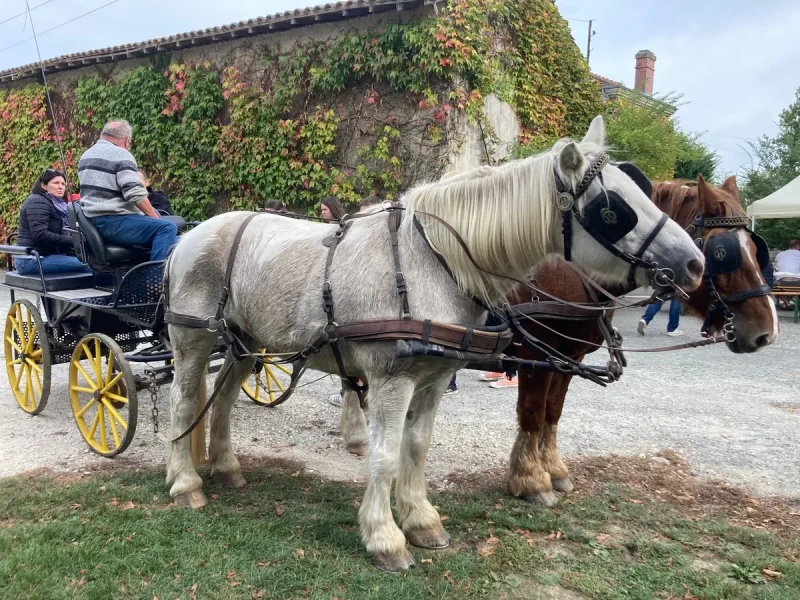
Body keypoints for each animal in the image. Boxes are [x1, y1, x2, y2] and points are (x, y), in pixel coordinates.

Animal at [166, 117, 704, 572]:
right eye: (612, 210)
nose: (694, 263)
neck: (436, 261)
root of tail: (189, 237)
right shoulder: (392, 379)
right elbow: (385, 455)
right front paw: (384, 538)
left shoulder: (436, 377)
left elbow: (417, 446)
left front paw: (421, 520)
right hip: (194, 340)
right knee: (185, 402)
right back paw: (186, 482)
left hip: (246, 344)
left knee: (224, 398)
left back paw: (226, 467)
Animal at [510, 175, 780, 506]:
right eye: (722, 253)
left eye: (756, 249)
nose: (767, 331)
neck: (571, 276)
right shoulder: (537, 357)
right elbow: (533, 414)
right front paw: (532, 480)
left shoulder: (569, 359)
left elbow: (552, 411)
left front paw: (554, 469)